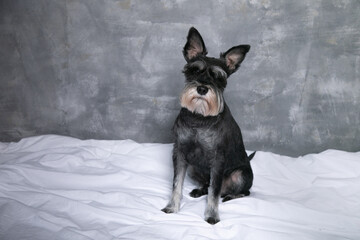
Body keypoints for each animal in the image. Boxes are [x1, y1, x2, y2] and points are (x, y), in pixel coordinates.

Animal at [162, 27, 255, 224]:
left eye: (219, 78)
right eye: (194, 71)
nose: (202, 89)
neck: (199, 117)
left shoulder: (218, 159)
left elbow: (214, 192)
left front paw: (212, 216)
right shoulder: (180, 153)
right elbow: (176, 183)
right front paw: (172, 207)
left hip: (240, 175)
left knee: (241, 191)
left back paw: (230, 196)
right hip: (194, 169)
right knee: (208, 184)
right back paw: (199, 190)